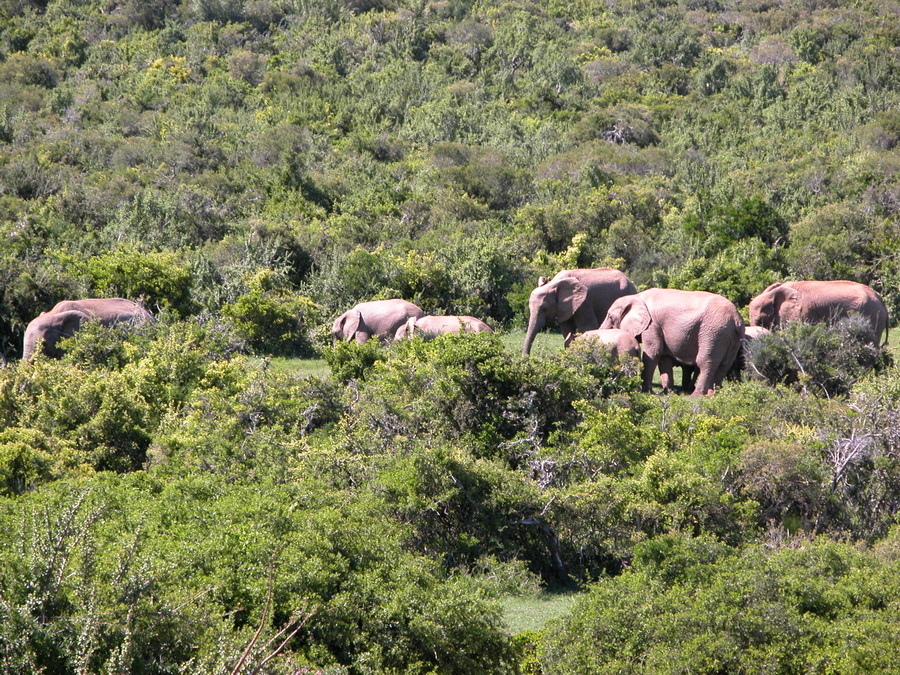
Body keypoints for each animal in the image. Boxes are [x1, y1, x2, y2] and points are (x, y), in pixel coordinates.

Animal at [604, 290, 744, 396]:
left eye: (610, 317)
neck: (637, 297)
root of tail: (736, 318)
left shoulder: (652, 325)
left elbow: (653, 353)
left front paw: (646, 392)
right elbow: (664, 358)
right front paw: (667, 393)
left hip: (713, 333)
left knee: (705, 361)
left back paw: (695, 396)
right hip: (732, 338)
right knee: (725, 364)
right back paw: (712, 395)